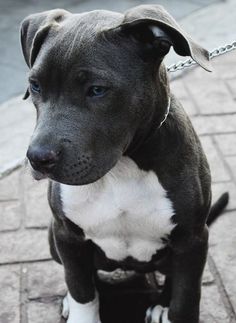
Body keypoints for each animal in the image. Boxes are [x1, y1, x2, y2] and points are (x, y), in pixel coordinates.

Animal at [20, 5, 218, 323]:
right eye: (35, 85)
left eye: (97, 90)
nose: (38, 158)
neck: (122, 166)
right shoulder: (66, 235)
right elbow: (81, 288)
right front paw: (79, 308)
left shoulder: (192, 238)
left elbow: (186, 298)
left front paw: (173, 307)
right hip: (53, 238)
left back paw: (162, 304)